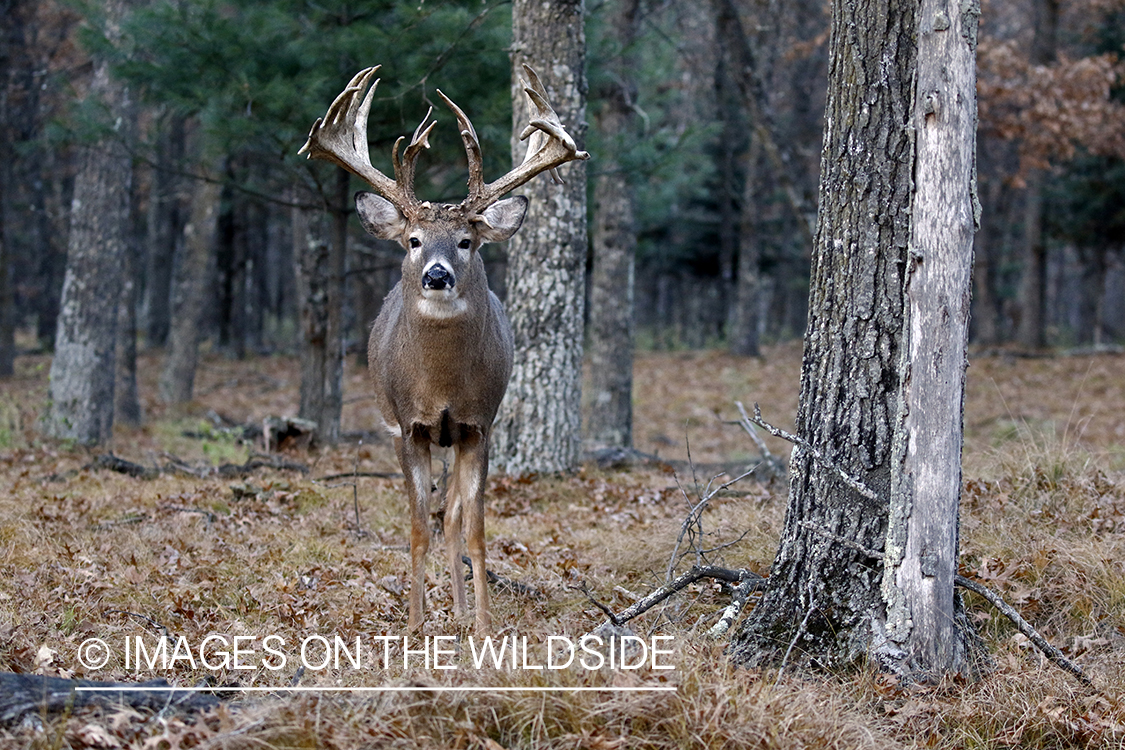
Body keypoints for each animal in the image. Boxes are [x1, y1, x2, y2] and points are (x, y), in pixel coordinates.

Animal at [299, 64, 589, 634]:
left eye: (466, 241)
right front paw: (414, 626)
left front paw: (482, 626)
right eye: (413, 240)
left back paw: (457, 611)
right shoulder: (409, 425)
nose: (436, 275)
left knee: (452, 518)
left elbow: (473, 528)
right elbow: (416, 528)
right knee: (434, 516)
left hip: (457, 437)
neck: (443, 384)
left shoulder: (479, 423)